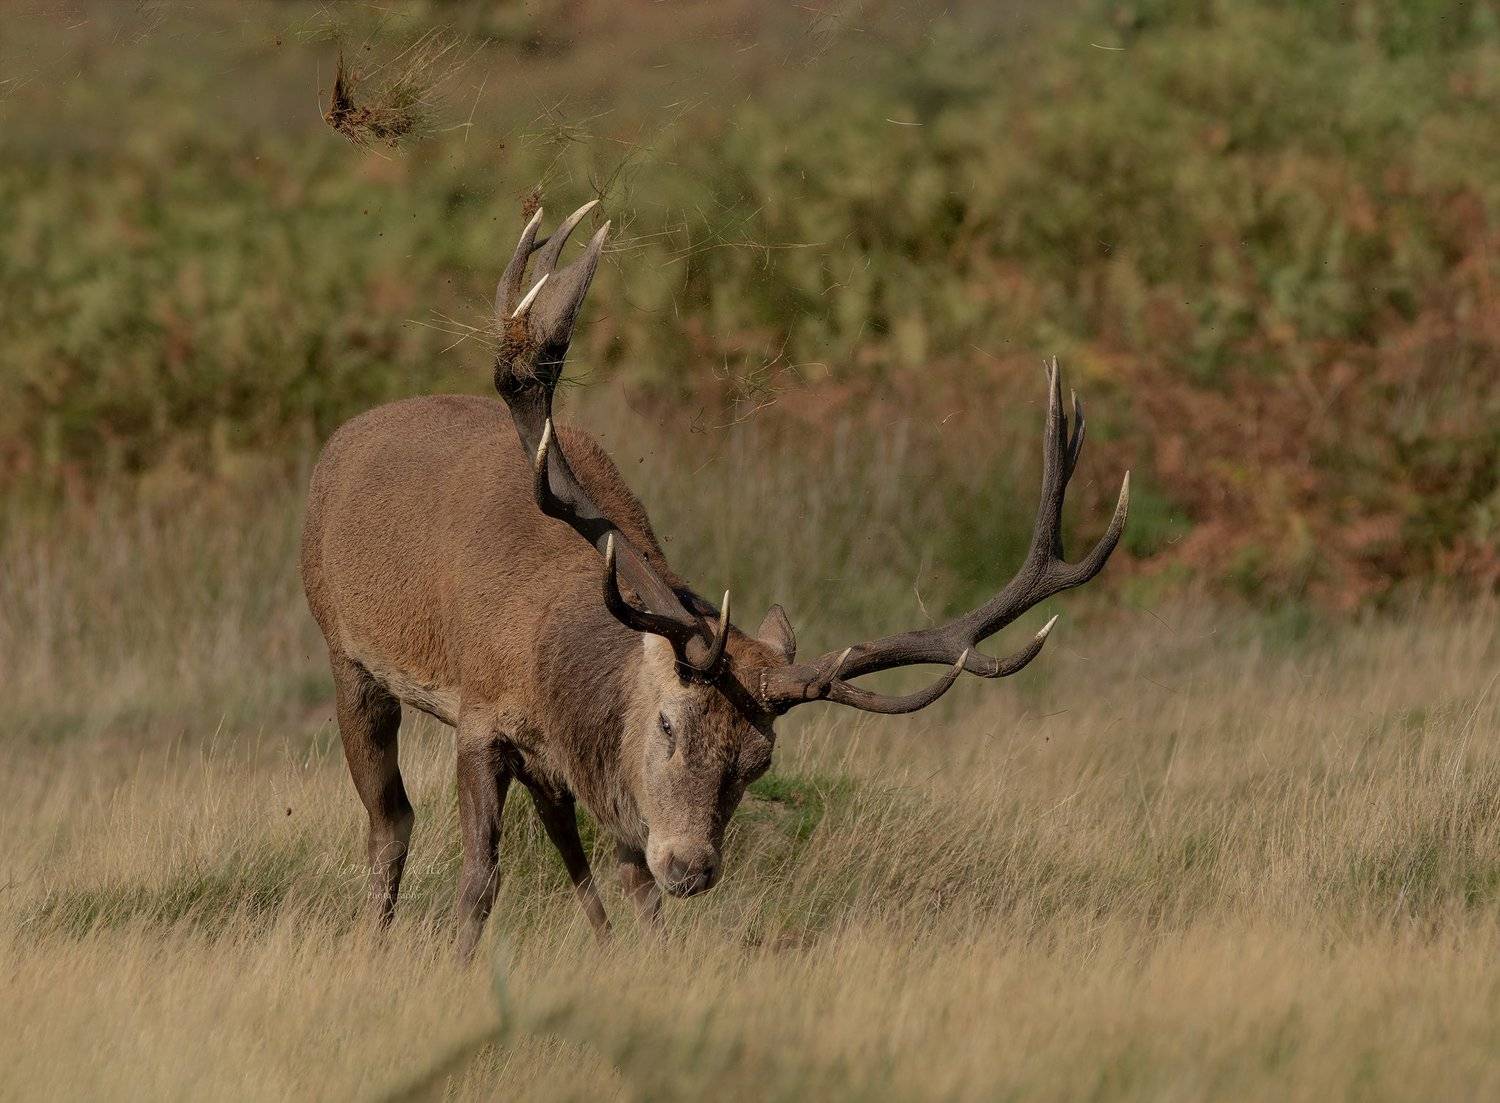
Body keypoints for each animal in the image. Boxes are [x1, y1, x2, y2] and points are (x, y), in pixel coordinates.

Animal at [299, 201, 1130, 961]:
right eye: (669, 722)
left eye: (759, 760)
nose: (693, 866)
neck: (550, 657)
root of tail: (343, 439)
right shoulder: (481, 716)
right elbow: (480, 876)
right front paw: (458, 964)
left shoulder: (586, 760)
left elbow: (628, 877)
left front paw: (641, 955)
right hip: (347, 655)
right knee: (391, 822)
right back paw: (375, 941)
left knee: (565, 839)